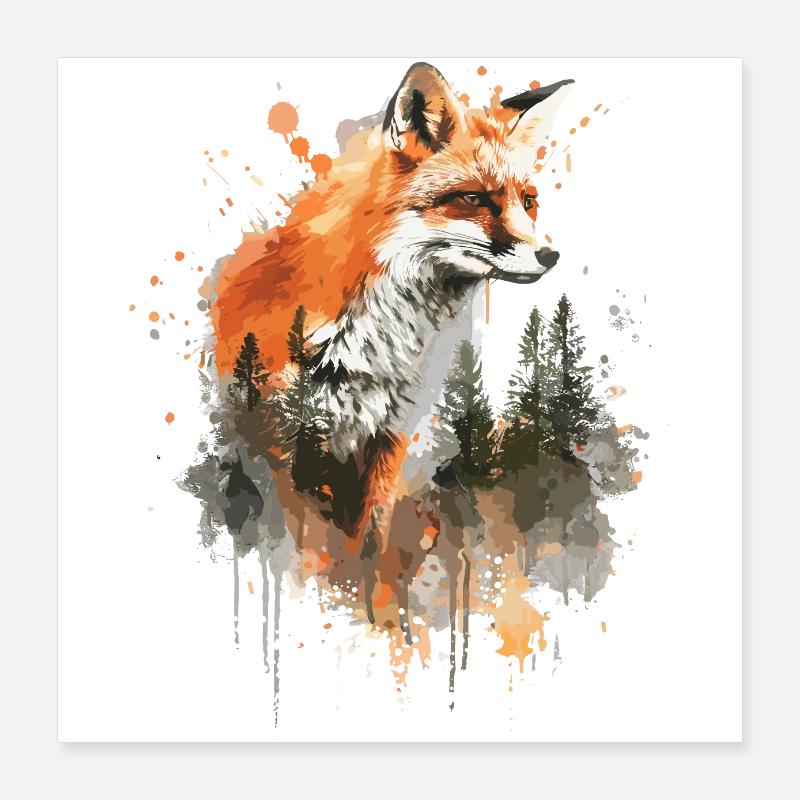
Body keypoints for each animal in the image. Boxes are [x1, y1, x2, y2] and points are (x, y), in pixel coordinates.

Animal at [211, 62, 572, 558]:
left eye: (529, 201)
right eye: (475, 199)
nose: (550, 256)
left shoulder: (386, 437)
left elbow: (369, 545)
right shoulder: (283, 442)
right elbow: (302, 552)